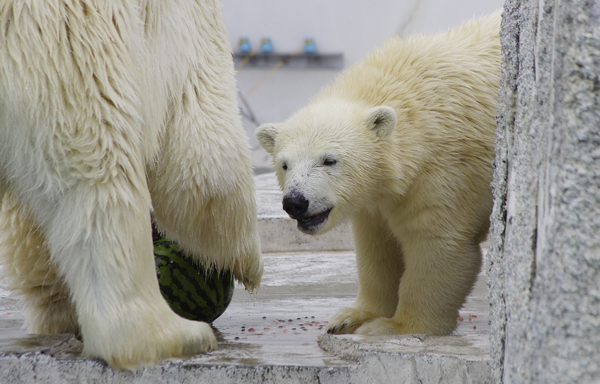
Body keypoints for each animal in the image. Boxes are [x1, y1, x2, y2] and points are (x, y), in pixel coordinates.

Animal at [0, 0, 262, 368]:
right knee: (100, 168)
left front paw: (57, 311)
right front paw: (248, 263)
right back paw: (171, 335)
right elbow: (203, 150)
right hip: (62, 48)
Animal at [258, 12, 502, 336]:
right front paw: (351, 317)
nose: (295, 202)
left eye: (329, 160)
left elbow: (437, 242)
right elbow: (376, 247)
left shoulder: (446, 169)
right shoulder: (376, 197)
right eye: (284, 164)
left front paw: (395, 327)